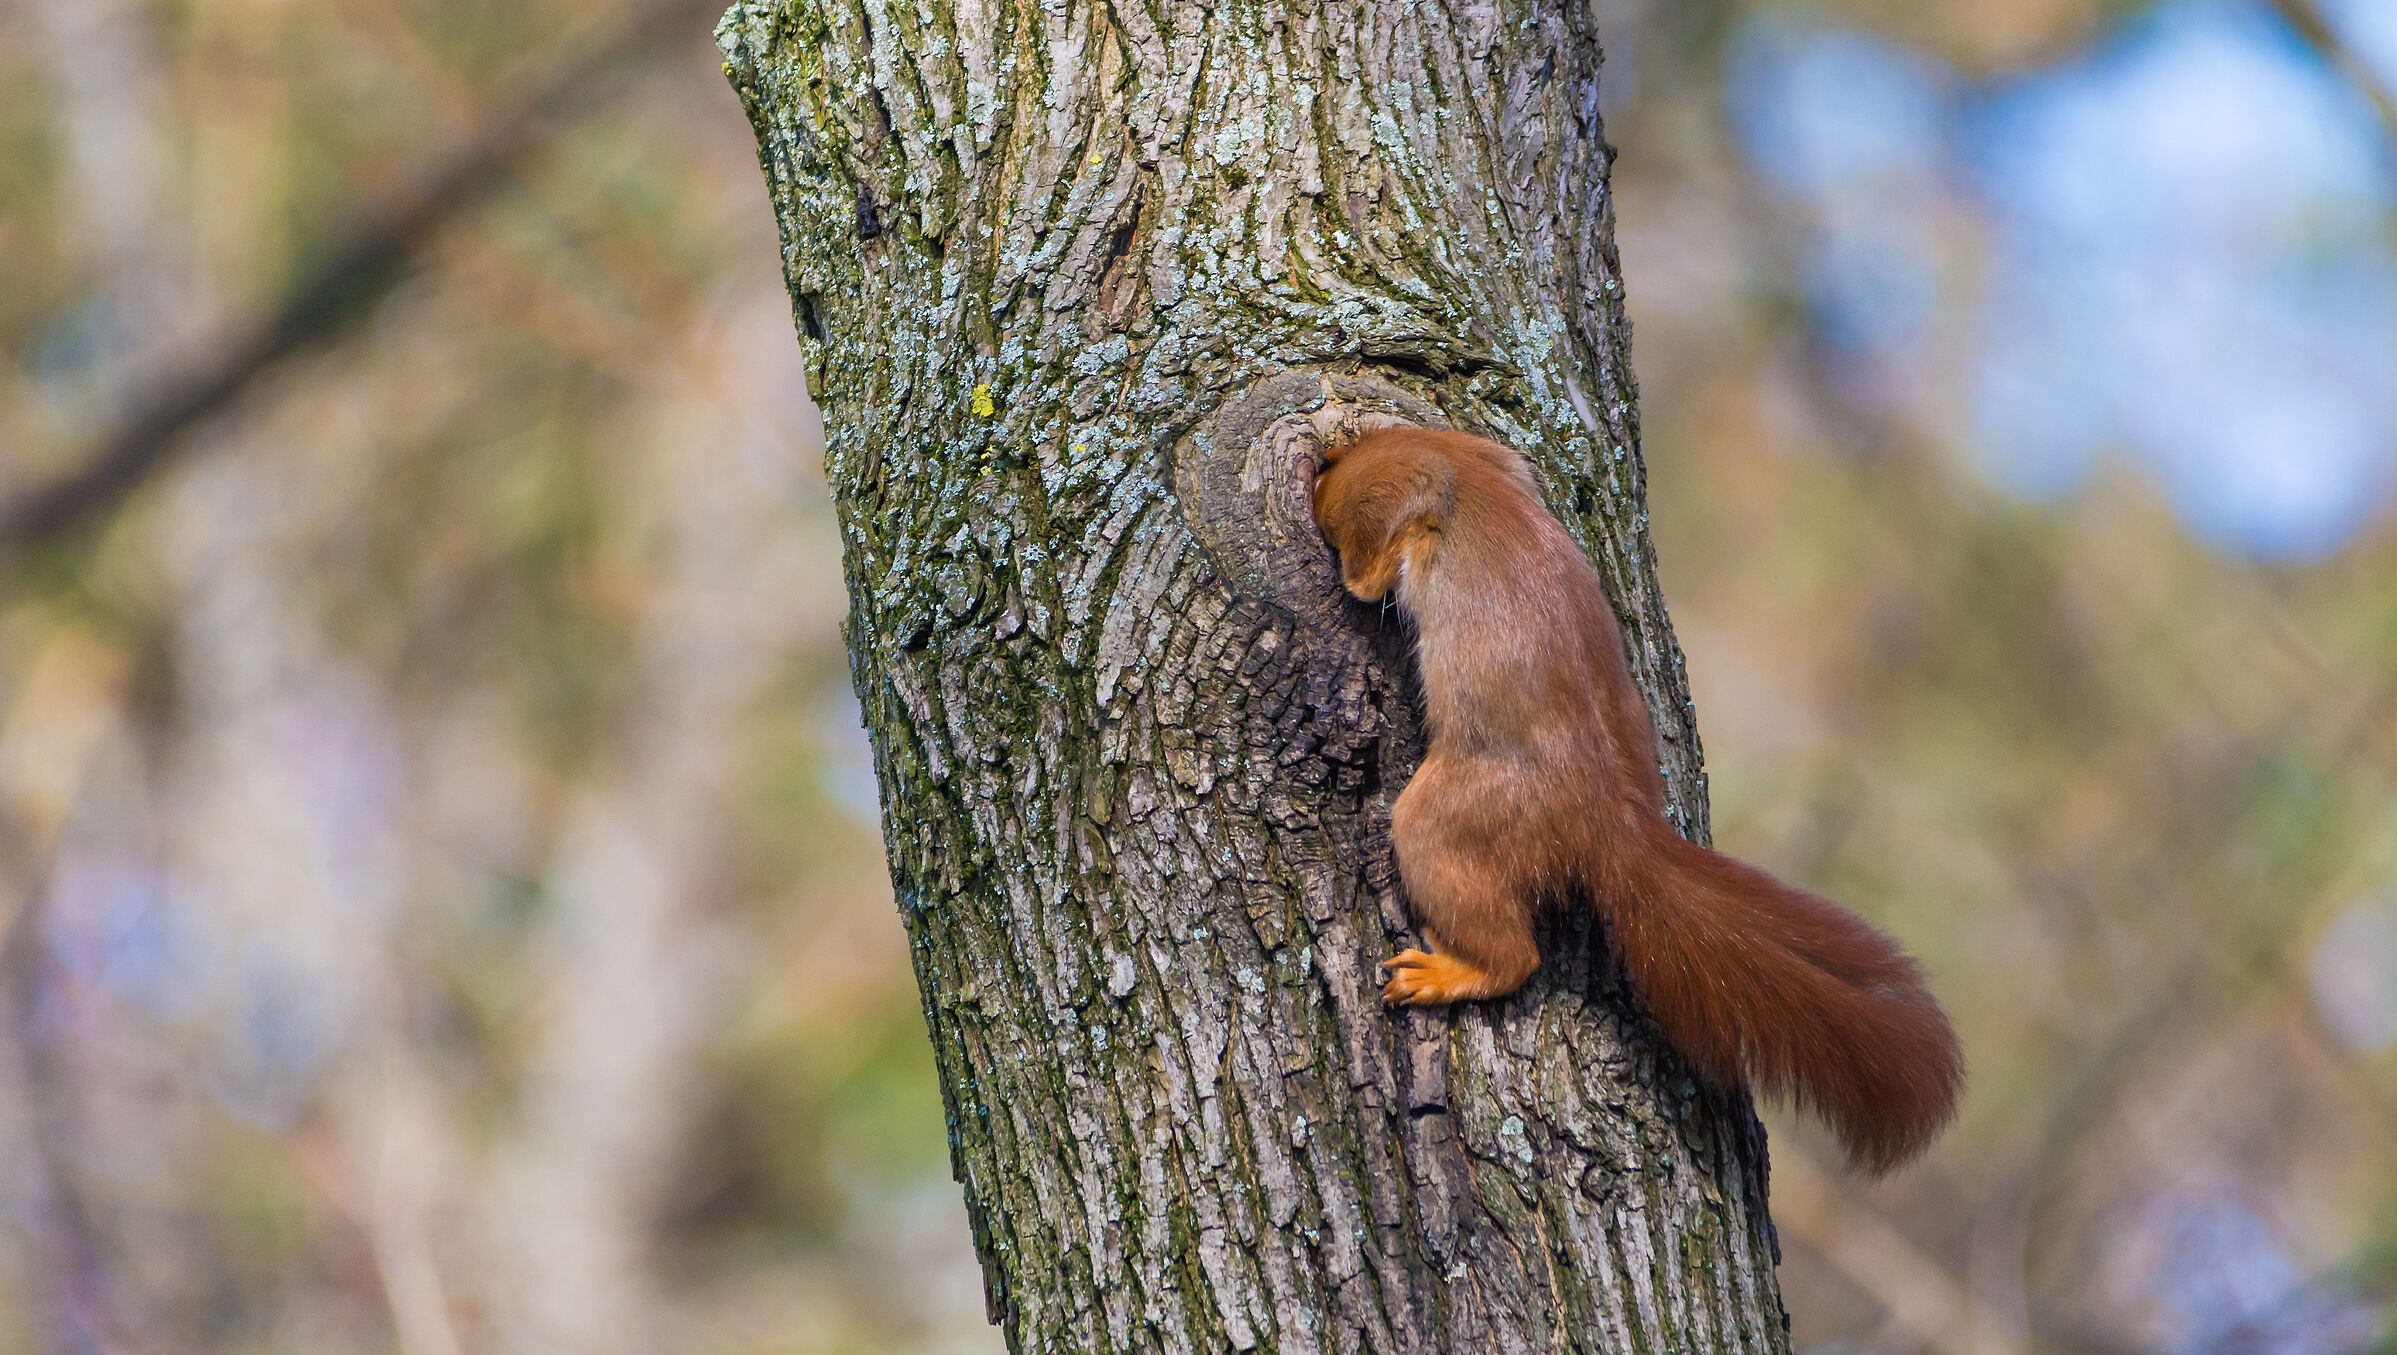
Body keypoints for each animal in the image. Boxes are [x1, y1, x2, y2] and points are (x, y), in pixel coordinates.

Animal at [1313, 424, 1965, 1175]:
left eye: (1333, 510)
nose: (1318, 479)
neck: (1462, 479)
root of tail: (1606, 822)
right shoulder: (1481, 453)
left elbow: (1368, 579)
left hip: (1448, 817)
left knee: (1513, 957)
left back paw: (1446, 971)